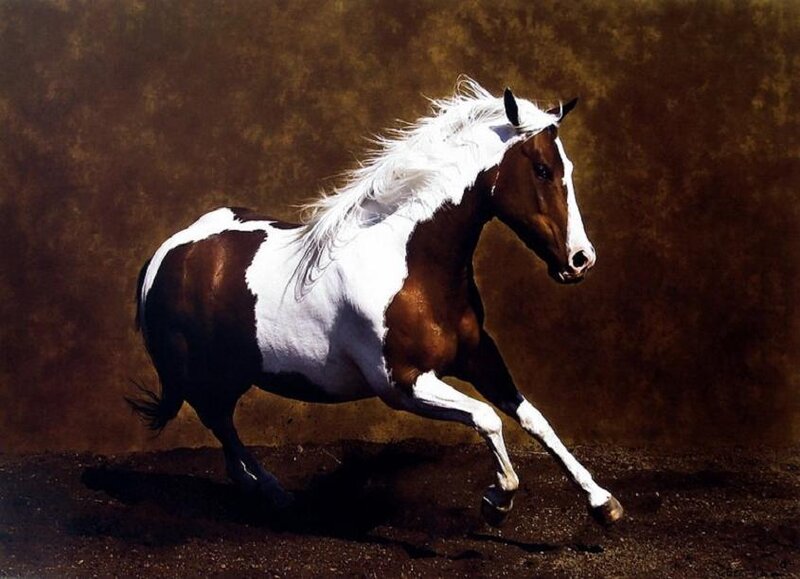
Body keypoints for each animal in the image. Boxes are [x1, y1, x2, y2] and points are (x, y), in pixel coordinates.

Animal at [128, 79, 623, 527]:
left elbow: (533, 418)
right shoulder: (403, 384)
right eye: (541, 169)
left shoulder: (478, 355)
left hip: (233, 373)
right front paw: (497, 501)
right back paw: (273, 493)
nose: (581, 260)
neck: (411, 265)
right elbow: (487, 419)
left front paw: (602, 503)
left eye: (567, 167)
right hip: (207, 376)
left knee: (225, 431)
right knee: (220, 426)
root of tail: (166, 254)